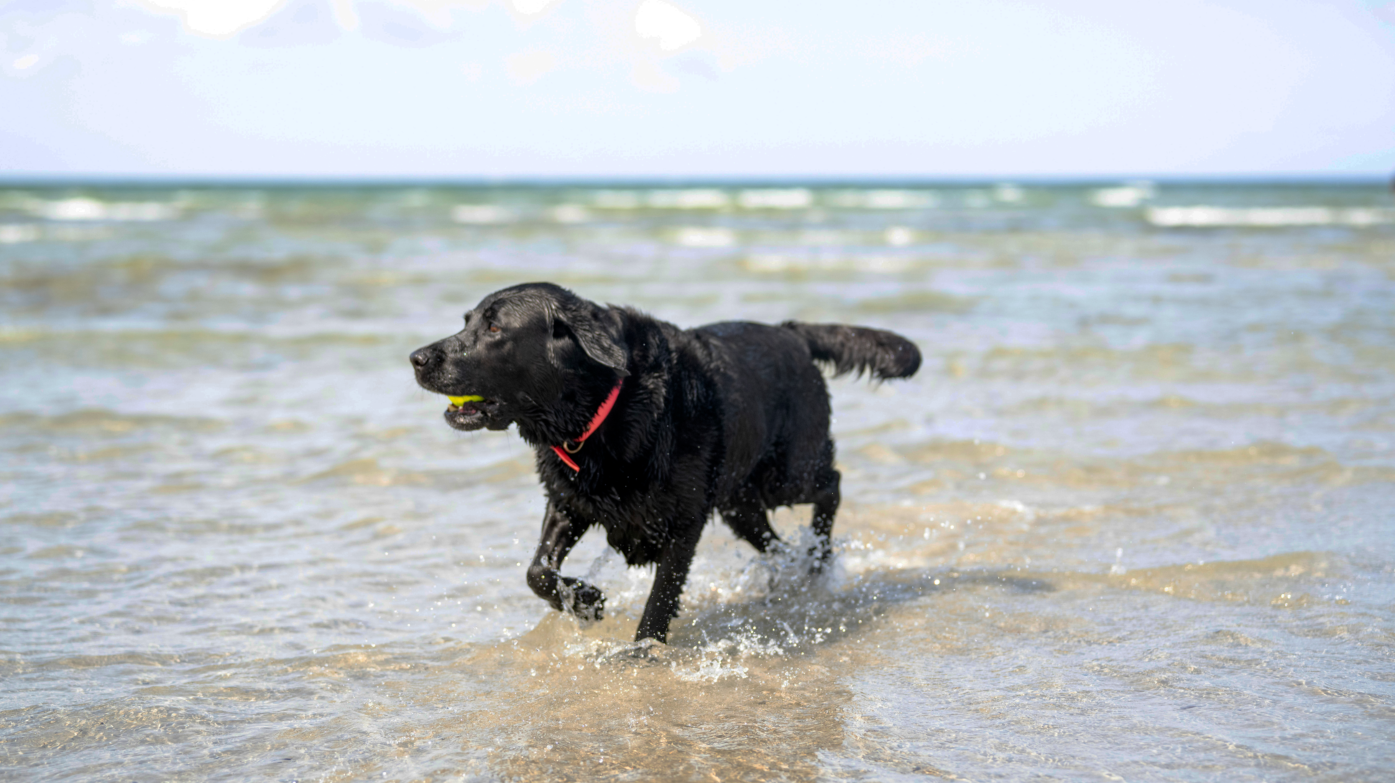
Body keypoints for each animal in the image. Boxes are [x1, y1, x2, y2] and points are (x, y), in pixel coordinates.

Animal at [407, 280, 920, 642]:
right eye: (467, 321)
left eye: (494, 329)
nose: (417, 358)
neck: (606, 408)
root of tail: (789, 331)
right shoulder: (569, 499)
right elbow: (537, 571)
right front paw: (585, 600)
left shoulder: (682, 523)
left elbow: (661, 597)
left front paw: (640, 652)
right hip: (738, 503)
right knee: (776, 543)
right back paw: (790, 577)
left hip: (786, 474)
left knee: (832, 484)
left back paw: (819, 558)